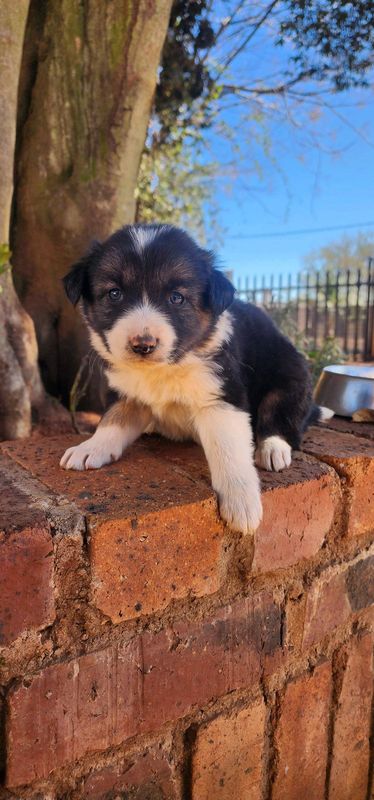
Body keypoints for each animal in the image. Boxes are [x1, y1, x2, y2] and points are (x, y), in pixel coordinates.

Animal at [61, 225, 334, 536]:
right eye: (114, 294)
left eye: (176, 298)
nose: (143, 345)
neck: (164, 369)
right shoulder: (128, 394)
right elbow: (112, 421)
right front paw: (90, 448)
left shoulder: (221, 399)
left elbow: (229, 452)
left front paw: (241, 501)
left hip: (291, 376)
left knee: (283, 418)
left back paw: (273, 448)